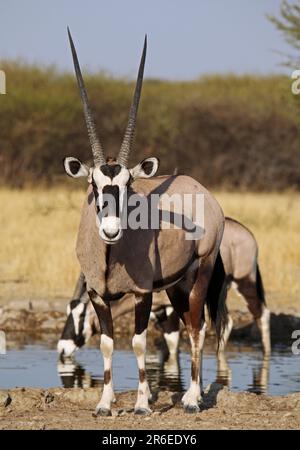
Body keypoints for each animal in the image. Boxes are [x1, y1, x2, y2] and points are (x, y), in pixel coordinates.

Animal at [63, 28, 227, 414]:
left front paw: (141, 404)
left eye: (128, 185)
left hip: (201, 272)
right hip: (176, 285)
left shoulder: (141, 294)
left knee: (197, 328)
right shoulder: (98, 294)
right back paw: (192, 392)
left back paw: (193, 399)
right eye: (93, 185)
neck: (110, 257)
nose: (110, 230)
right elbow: (107, 343)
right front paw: (105, 403)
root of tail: (202, 191)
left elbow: (138, 343)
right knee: (188, 324)